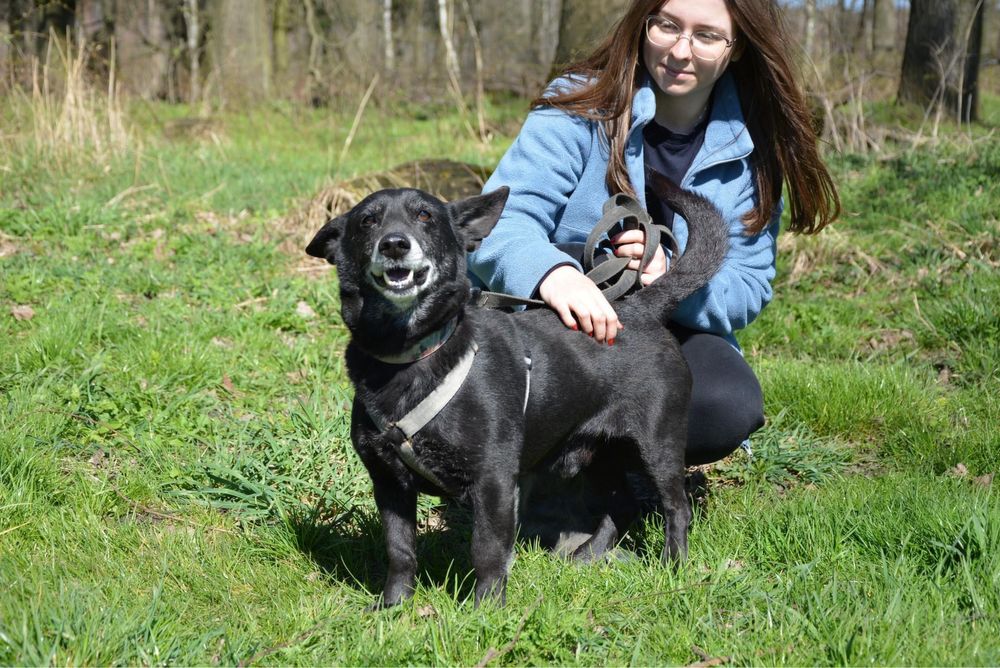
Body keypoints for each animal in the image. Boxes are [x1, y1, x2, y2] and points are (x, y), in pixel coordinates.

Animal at [304, 171, 728, 604]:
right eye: (368, 221)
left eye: (424, 216)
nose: (394, 243)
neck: (413, 355)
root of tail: (638, 307)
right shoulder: (389, 484)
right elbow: (399, 549)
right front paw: (394, 605)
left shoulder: (492, 480)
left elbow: (488, 550)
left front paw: (487, 609)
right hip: (599, 452)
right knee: (622, 505)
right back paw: (587, 554)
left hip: (657, 444)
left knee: (676, 507)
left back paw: (673, 568)